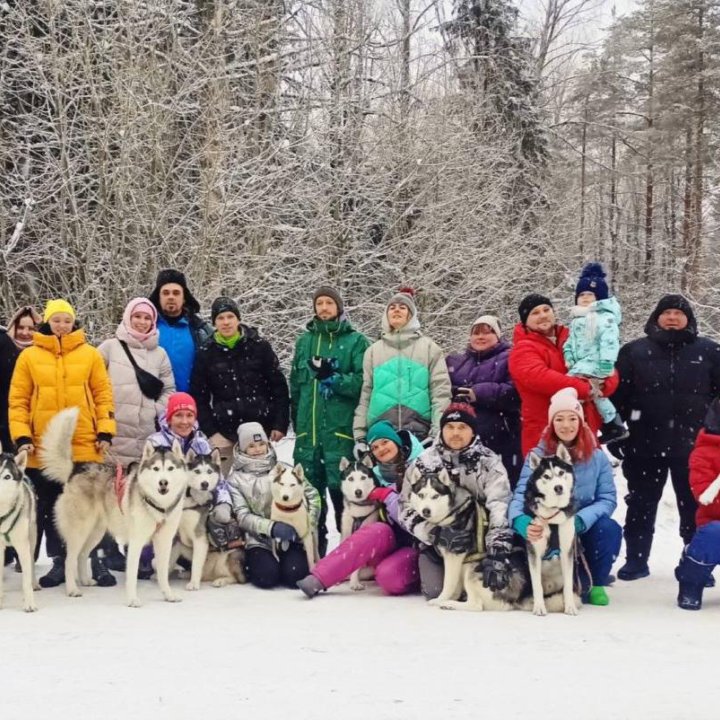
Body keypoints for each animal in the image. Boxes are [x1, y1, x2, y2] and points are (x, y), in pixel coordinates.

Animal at [41, 408, 188, 604]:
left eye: (170, 468)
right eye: (156, 469)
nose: (163, 483)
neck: (159, 506)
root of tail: (76, 469)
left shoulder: (164, 541)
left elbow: (163, 574)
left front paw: (169, 595)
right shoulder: (136, 541)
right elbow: (132, 575)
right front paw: (132, 600)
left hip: (96, 533)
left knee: (82, 555)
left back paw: (85, 580)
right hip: (79, 532)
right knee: (69, 560)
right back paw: (72, 589)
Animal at [169, 450, 222, 592]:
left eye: (209, 471)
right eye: (197, 471)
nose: (205, 484)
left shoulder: (200, 539)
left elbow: (196, 565)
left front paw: (193, 583)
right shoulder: (175, 538)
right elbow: (167, 560)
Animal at [524, 444, 580, 620]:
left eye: (561, 473)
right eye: (546, 476)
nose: (558, 487)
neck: (553, 514)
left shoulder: (567, 549)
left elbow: (568, 584)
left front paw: (570, 607)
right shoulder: (534, 550)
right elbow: (537, 585)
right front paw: (539, 608)